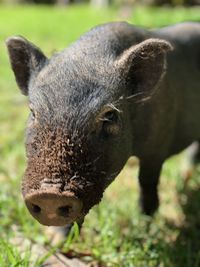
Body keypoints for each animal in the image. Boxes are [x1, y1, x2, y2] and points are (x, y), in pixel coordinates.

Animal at [5, 22, 200, 229]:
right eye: (33, 112)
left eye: (110, 116)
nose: (49, 195)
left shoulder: (157, 148)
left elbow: (146, 183)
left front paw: (144, 223)